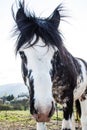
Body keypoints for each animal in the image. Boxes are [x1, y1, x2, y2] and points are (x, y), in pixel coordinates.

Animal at [11, 0, 87, 129]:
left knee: (84, 119)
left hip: (84, 96)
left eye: (56, 53)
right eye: (21, 53)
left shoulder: (68, 100)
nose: (43, 110)